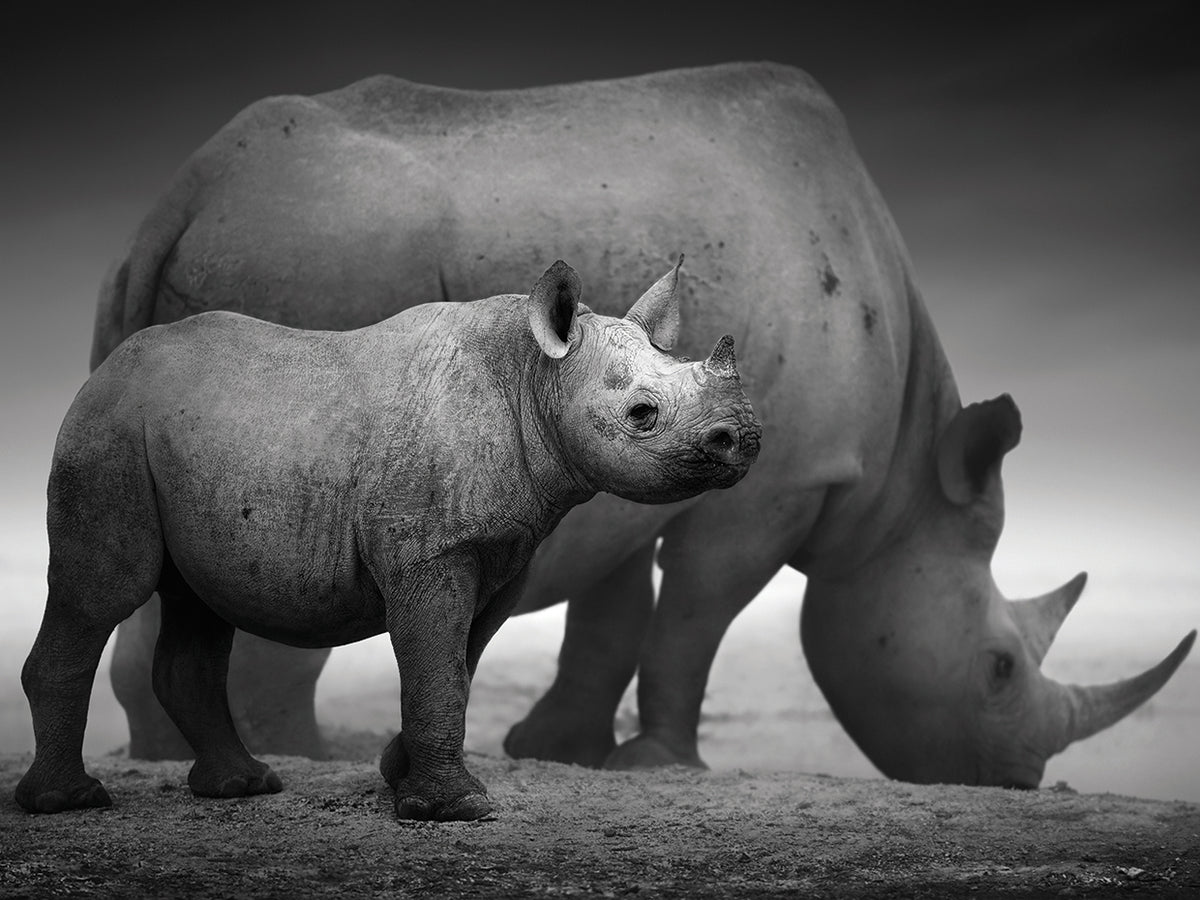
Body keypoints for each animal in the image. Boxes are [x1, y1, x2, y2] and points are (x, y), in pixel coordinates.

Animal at [16, 261, 761, 821]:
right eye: (642, 415)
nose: (746, 439)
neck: (536, 378)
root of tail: (105, 369)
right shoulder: (431, 551)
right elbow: (436, 664)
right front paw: (456, 810)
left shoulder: (502, 552)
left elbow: (458, 663)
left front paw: (403, 779)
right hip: (108, 430)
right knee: (107, 589)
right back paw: (69, 803)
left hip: (177, 436)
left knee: (195, 604)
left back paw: (242, 787)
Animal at [95, 62, 1194, 788]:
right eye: (999, 669)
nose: (1025, 780)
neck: (898, 486)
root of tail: (182, 196)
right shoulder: (781, 482)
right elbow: (695, 615)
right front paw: (661, 764)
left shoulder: (626, 453)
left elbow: (613, 611)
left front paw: (561, 753)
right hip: (324, 258)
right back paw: (306, 760)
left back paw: (184, 758)